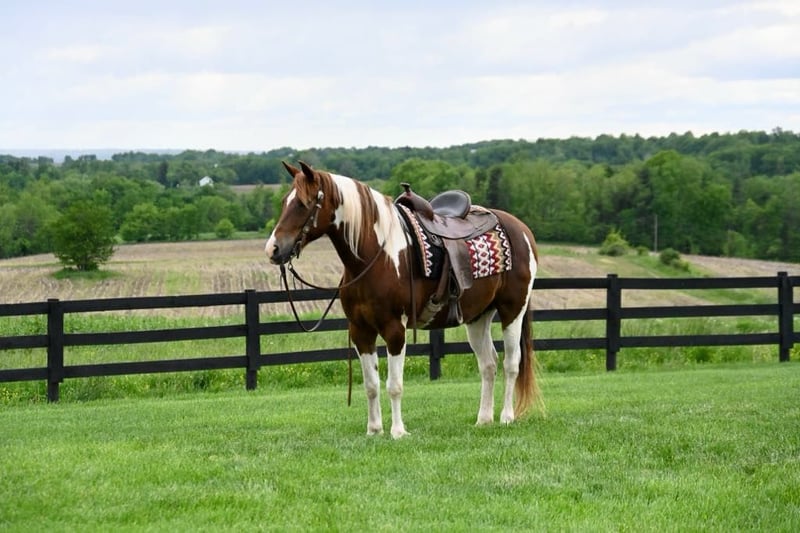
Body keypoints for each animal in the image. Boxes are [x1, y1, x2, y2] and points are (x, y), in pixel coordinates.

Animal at [265, 161, 541, 438]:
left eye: (303, 203)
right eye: (284, 201)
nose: (273, 249)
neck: (377, 256)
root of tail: (522, 230)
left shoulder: (395, 329)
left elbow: (394, 385)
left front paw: (398, 431)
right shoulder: (360, 331)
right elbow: (371, 385)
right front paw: (374, 430)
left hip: (512, 311)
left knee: (511, 363)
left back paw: (506, 417)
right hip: (478, 317)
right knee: (488, 364)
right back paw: (483, 419)